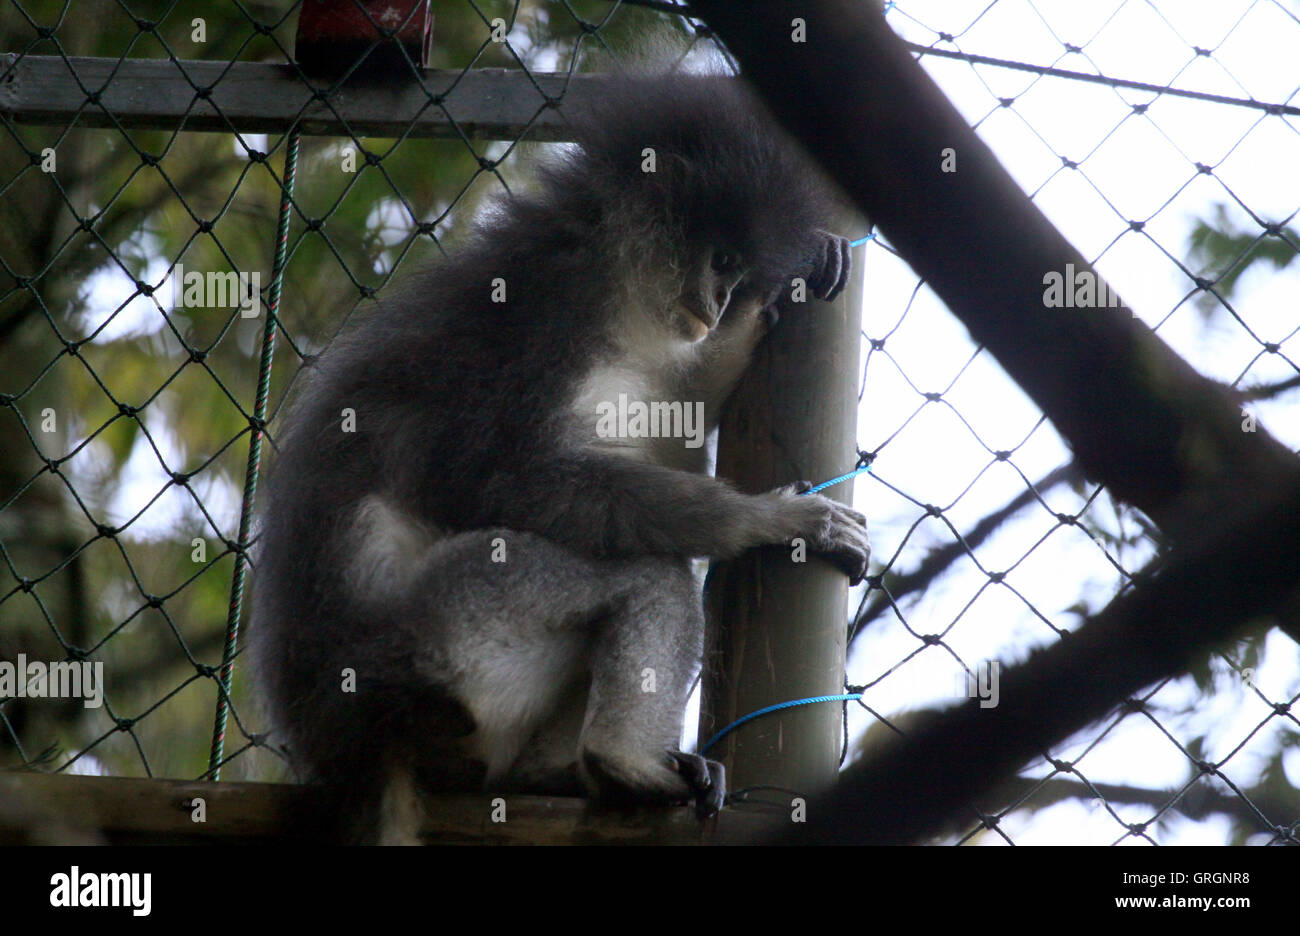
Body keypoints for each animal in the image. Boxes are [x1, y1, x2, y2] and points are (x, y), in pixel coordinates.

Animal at [248, 76, 868, 842]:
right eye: (723, 260)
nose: (724, 301)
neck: (606, 271)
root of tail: (361, 741)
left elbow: (675, 407)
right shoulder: (543, 321)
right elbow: (494, 478)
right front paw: (770, 521)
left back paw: (561, 775)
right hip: (448, 628)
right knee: (650, 575)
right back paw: (621, 764)